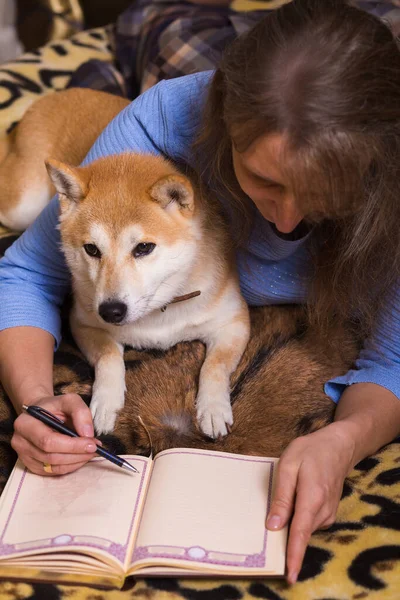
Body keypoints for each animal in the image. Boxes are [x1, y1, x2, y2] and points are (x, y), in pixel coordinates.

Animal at [47, 154, 250, 436]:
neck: (157, 312)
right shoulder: (83, 323)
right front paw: (106, 401)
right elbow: (109, 356)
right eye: (92, 249)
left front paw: (212, 408)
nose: (110, 311)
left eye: (143, 247)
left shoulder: (233, 322)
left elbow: (215, 365)